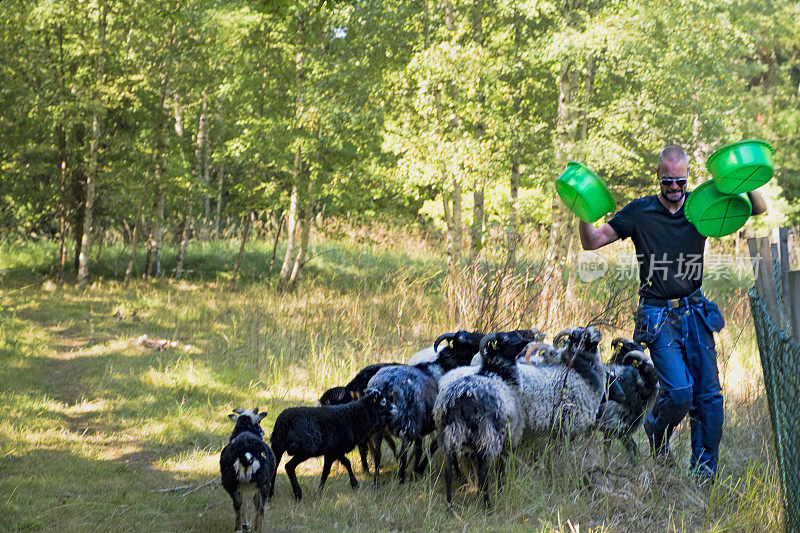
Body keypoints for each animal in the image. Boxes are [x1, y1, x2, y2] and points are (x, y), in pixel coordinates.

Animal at [434, 330, 528, 510]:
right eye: (505, 338)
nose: (527, 336)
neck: (498, 373)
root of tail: (464, 396)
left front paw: (477, 492)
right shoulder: (509, 437)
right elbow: (500, 467)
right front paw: (500, 490)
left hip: (447, 435)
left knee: (448, 472)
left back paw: (450, 507)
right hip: (489, 435)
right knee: (485, 472)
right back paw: (488, 507)